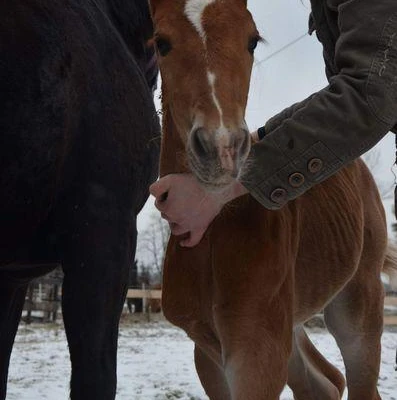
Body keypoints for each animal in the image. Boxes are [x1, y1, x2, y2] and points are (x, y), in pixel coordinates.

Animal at [150, 0, 394, 398]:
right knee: (324, 382)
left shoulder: (256, 351)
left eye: (252, 40)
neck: (214, 233)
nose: (222, 149)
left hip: (356, 304)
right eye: (161, 43)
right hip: (290, 324)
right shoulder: (208, 352)